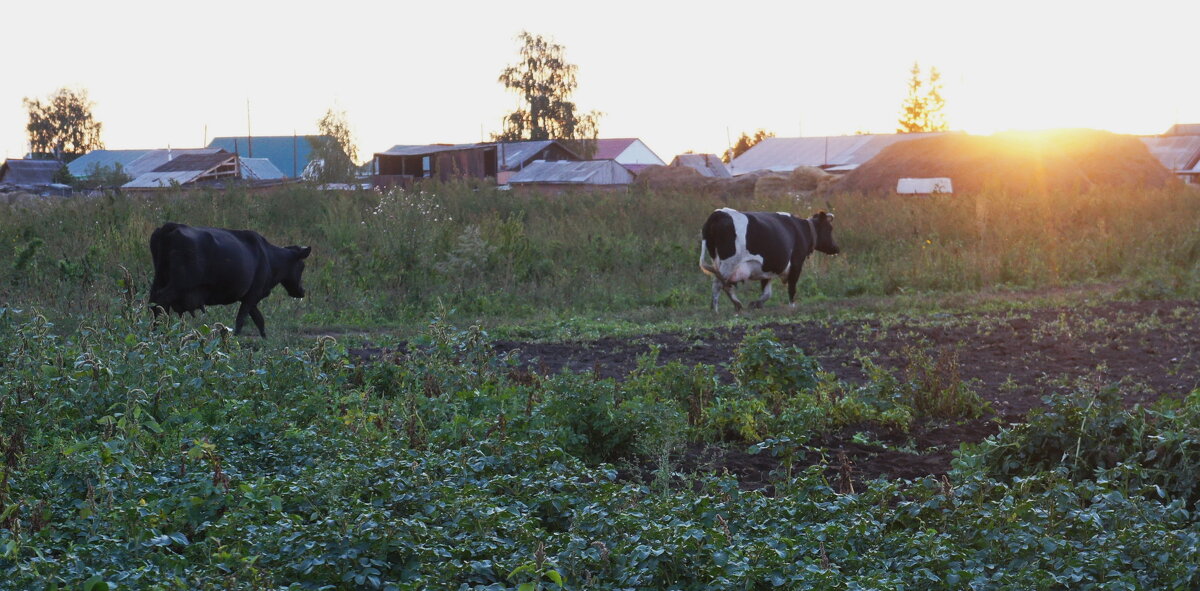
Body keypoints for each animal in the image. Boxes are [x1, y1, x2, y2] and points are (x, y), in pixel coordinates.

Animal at [150, 222, 312, 336]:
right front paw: (234, 339)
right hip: (179, 283)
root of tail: (171, 226)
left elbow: (259, 320)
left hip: (159, 279)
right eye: (302, 266)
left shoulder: (250, 297)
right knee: (161, 300)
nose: (302, 291)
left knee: (153, 302)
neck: (269, 257)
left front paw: (265, 339)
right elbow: (241, 319)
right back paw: (160, 331)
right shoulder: (253, 294)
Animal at [700, 210, 840, 317]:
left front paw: (756, 304)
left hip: (720, 263)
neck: (802, 230)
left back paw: (737, 305)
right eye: (830, 228)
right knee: (718, 284)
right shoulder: (796, 264)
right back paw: (715, 310)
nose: (836, 248)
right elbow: (792, 288)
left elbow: (767, 293)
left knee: (725, 284)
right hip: (729, 263)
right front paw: (792, 307)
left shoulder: (766, 269)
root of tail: (718, 213)